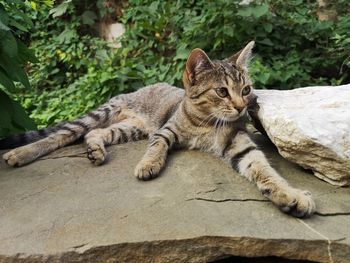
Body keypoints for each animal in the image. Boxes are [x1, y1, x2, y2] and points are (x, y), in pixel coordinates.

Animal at [0, 41, 316, 219]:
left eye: (246, 89)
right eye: (222, 92)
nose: (241, 107)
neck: (207, 123)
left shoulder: (239, 144)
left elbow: (264, 169)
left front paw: (289, 194)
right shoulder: (166, 131)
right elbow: (158, 147)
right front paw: (148, 165)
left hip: (128, 128)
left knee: (94, 134)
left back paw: (95, 151)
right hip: (101, 114)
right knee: (62, 135)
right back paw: (21, 153)